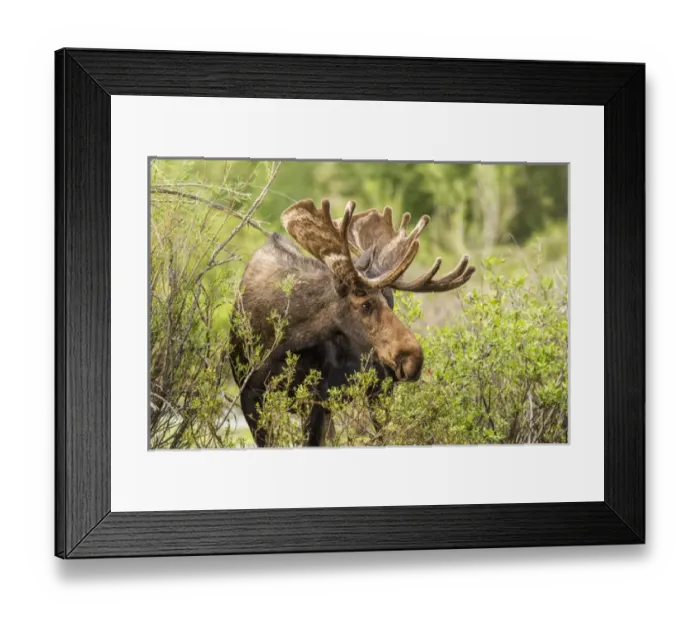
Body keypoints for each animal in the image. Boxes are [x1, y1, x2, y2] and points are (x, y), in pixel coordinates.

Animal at [229, 199, 476, 447]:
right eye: (365, 304)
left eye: (388, 301)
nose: (413, 359)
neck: (282, 340)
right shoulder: (249, 395)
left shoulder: (315, 397)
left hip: (379, 392)